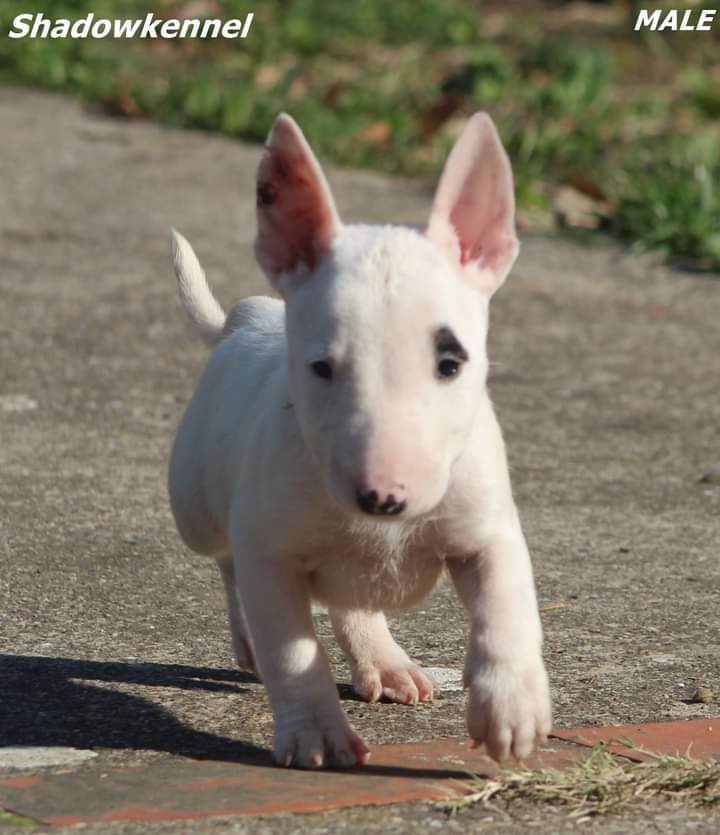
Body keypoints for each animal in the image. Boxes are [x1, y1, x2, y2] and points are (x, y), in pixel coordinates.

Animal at [169, 111, 552, 772]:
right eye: (322, 367)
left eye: (451, 362)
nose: (383, 499)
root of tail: (247, 316)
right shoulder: (270, 553)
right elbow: (293, 652)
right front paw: (317, 736)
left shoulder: (487, 527)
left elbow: (506, 605)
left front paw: (512, 712)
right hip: (194, 504)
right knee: (226, 560)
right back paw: (250, 640)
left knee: (350, 600)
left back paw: (387, 663)